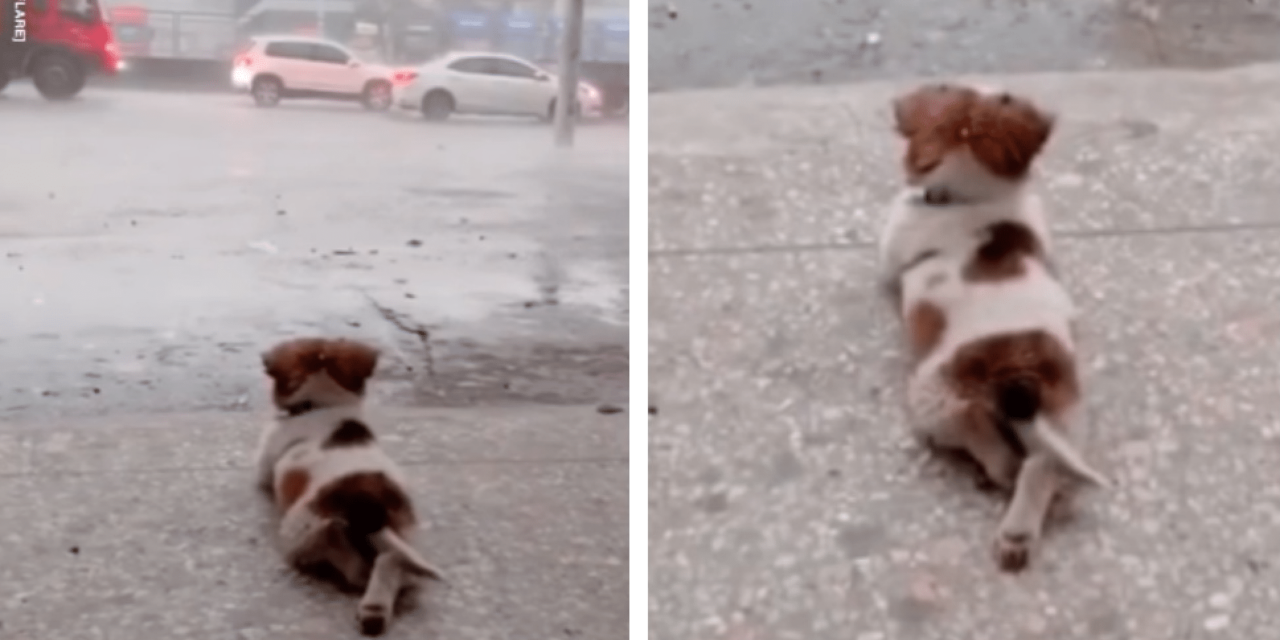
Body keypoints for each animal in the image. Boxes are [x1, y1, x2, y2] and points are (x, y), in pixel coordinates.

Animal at [254, 337, 445, 637]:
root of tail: (368, 500)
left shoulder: (264, 463)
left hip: (296, 528)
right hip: (406, 536)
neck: (324, 404)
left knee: (347, 562)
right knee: (392, 563)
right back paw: (374, 610)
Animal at [880, 83, 1111, 570]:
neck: (974, 196)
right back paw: (1018, 534)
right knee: (1041, 465)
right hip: (1065, 413)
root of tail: (1016, 364)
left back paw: (999, 482)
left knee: (983, 437)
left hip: (932, 396)